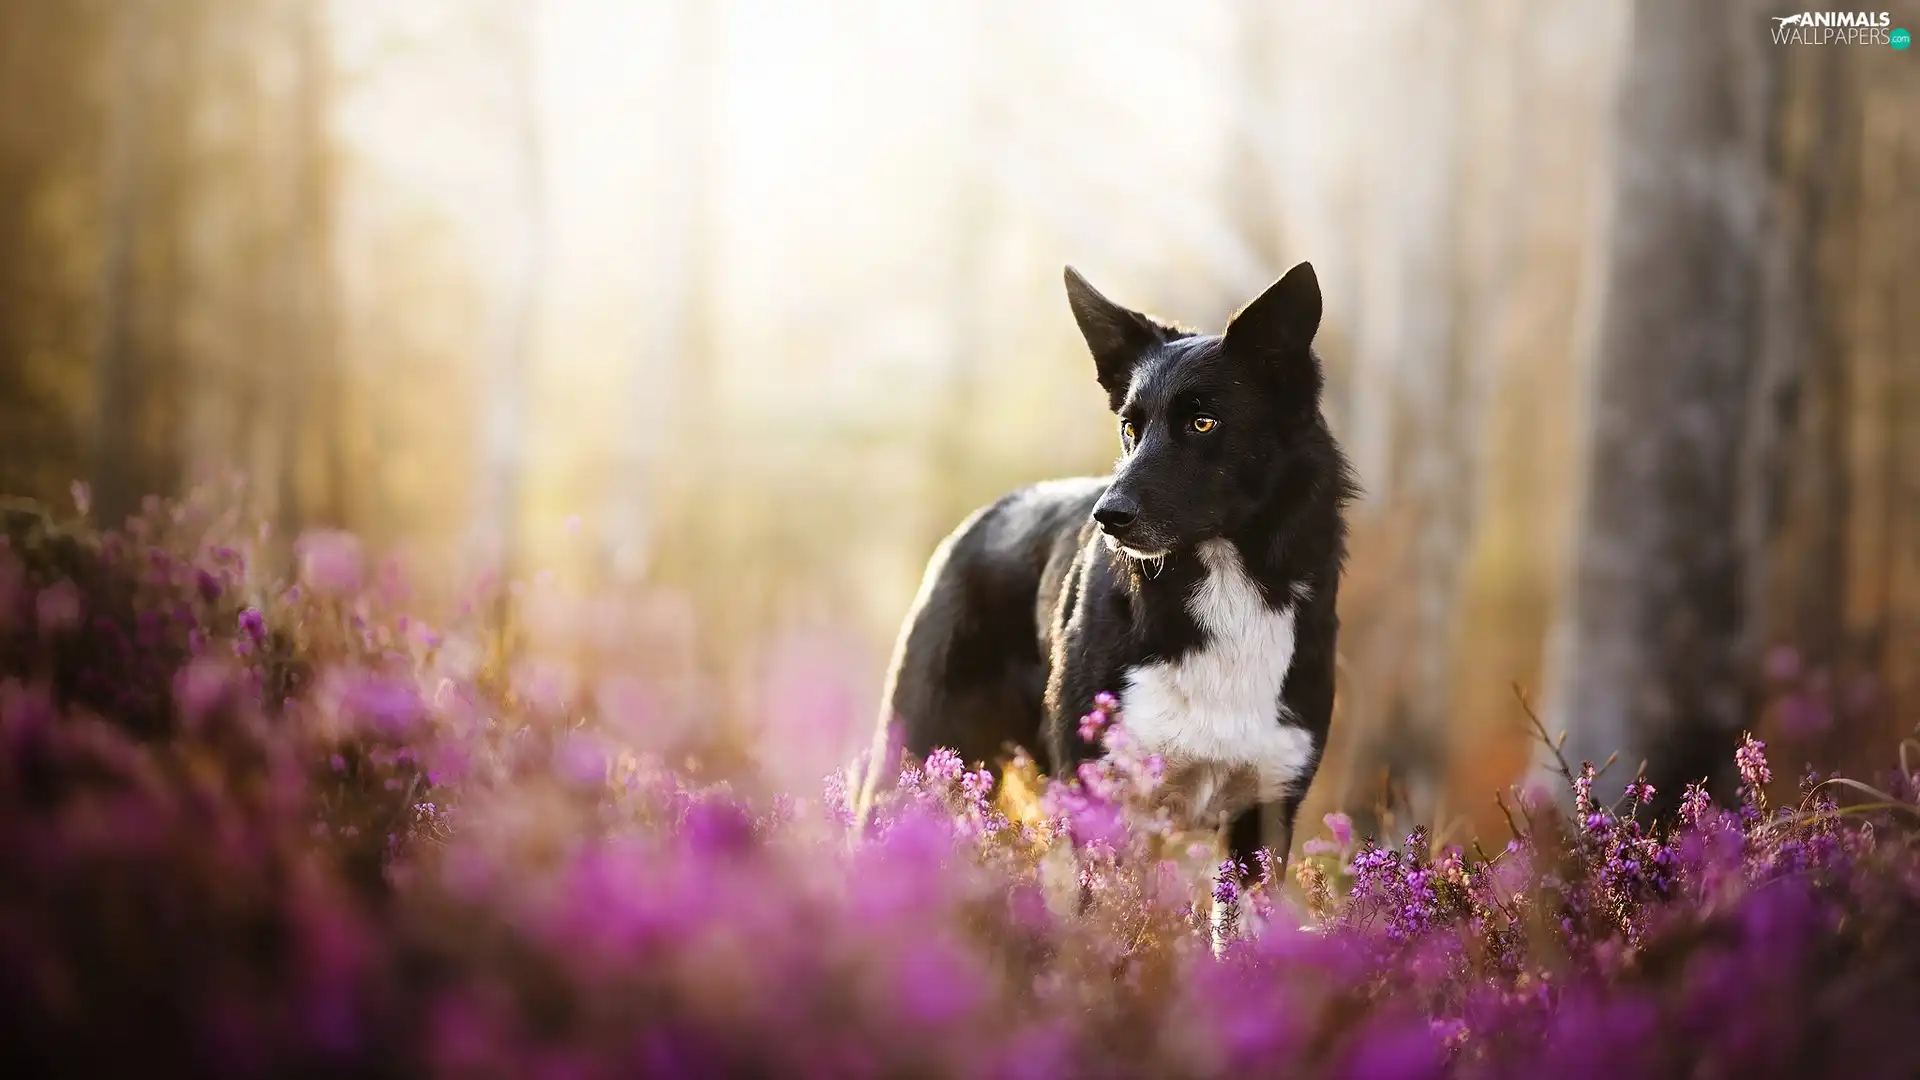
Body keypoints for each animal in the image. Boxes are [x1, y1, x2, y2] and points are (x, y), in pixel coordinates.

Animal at [879, 263, 1351, 876]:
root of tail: (986, 514)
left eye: (1204, 422)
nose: (1107, 517)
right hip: (916, 754)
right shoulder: (1098, 794)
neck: (1226, 581)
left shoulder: (1266, 813)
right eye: (1130, 427)